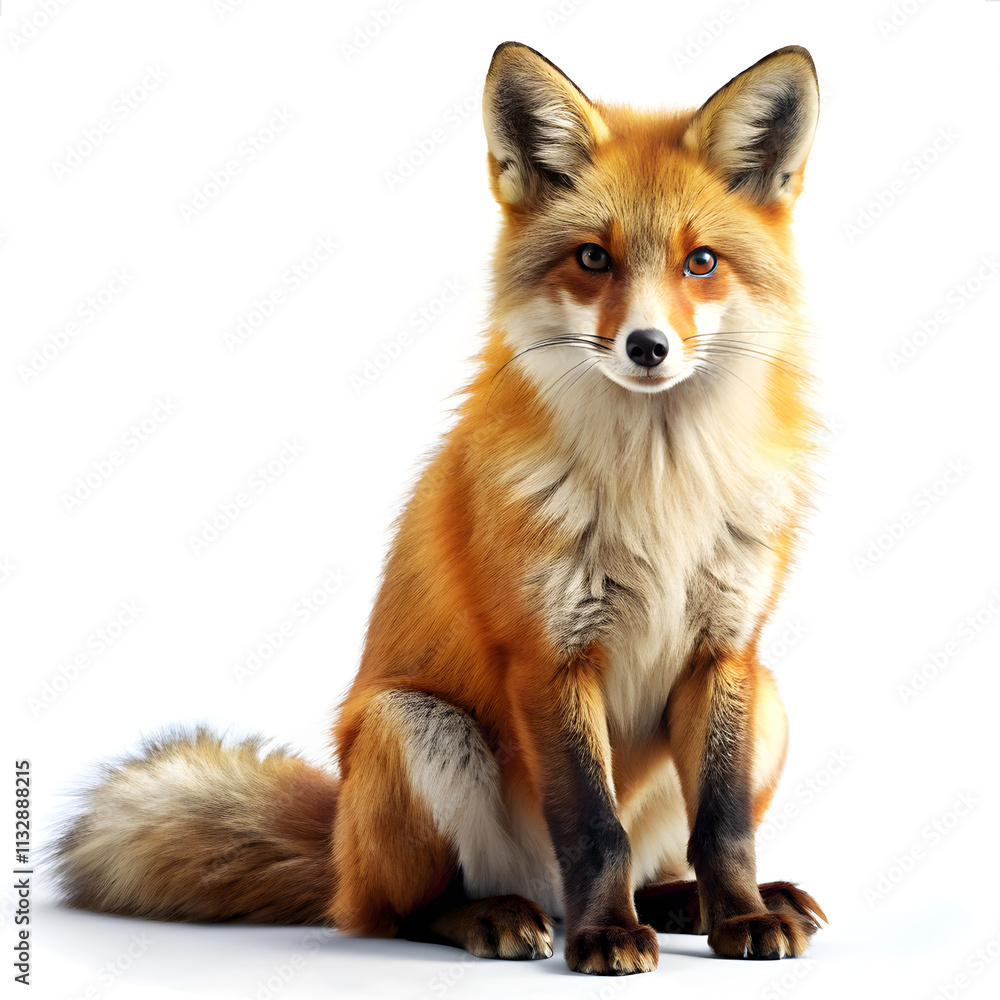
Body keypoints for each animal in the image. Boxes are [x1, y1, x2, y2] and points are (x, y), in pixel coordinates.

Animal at [53, 42, 826, 975]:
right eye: (592, 259)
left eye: (701, 262)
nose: (648, 347)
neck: (659, 496)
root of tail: (340, 846)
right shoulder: (548, 654)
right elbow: (592, 828)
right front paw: (606, 938)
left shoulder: (726, 651)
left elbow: (725, 827)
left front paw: (741, 915)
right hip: (417, 728)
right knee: (396, 912)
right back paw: (507, 918)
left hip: (771, 701)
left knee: (657, 866)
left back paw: (689, 902)